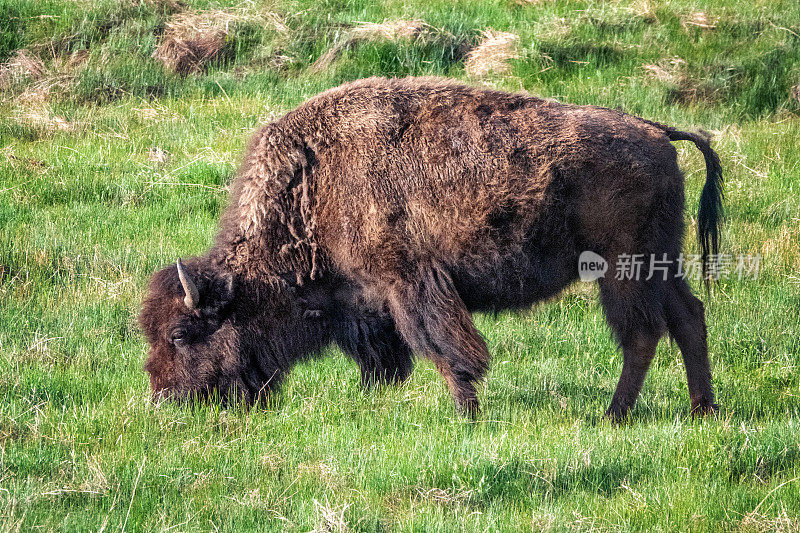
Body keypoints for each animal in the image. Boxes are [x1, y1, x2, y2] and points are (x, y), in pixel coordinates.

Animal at [139, 76, 724, 416]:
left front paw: (466, 413)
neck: (311, 187)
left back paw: (614, 415)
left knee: (643, 333)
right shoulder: (370, 302)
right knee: (688, 316)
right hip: (661, 260)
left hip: (622, 269)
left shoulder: (411, 284)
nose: (166, 400)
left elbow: (445, 350)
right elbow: (385, 355)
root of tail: (656, 131)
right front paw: (373, 401)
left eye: (179, 334)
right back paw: (702, 409)